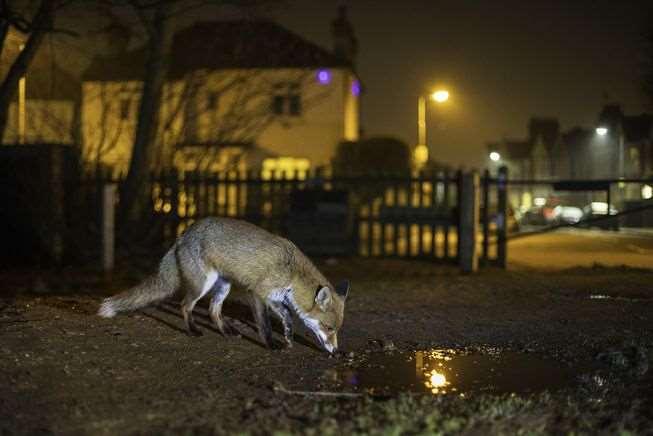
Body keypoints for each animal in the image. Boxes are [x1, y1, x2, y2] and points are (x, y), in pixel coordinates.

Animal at [97, 216, 348, 352]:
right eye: (329, 328)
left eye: (336, 329)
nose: (336, 352)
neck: (292, 272)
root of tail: (183, 234)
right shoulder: (256, 292)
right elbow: (265, 325)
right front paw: (271, 344)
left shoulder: (275, 297)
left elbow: (287, 316)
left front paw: (288, 337)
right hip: (202, 284)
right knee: (185, 306)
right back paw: (193, 331)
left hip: (223, 286)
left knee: (212, 310)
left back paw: (227, 331)